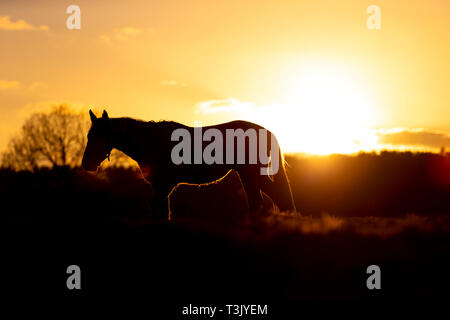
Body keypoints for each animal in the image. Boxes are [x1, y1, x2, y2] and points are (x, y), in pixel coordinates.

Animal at [82, 109, 298, 218]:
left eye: (98, 136)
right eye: (89, 136)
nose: (86, 164)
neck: (151, 140)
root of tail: (267, 131)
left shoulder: (162, 186)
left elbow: (160, 213)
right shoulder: (161, 188)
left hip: (252, 174)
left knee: (278, 197)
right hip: (248, 176)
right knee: (259, 201)